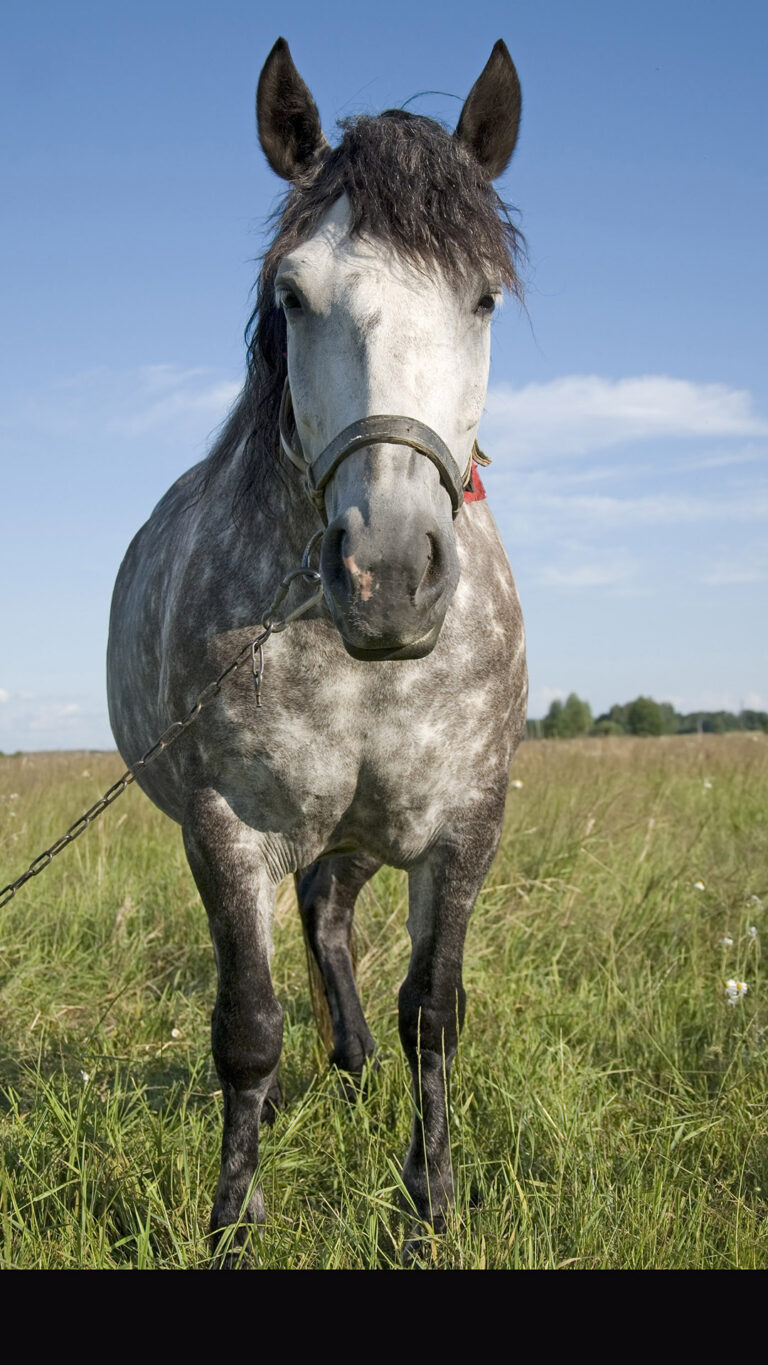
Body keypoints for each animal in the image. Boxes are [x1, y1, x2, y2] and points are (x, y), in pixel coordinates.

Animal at [107, 36, 528, 1251]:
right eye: (292, 296)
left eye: (484, 296)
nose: (389, 574)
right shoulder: (226, 829)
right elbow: (248, 1028)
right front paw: (230, 1225)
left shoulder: (466, 823)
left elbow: (434, 1013)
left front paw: (428, 1211)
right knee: (315, 926)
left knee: (332, 919)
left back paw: (353, 1061)